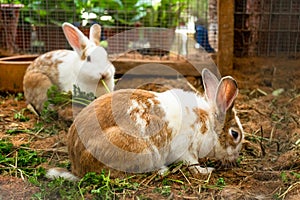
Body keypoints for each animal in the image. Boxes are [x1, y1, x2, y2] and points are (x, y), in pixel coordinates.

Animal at [46, 68, 244, 180]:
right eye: (235, 134)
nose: (235, 159)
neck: (208, 122)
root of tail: (77, 166)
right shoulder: (186, 150)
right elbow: (192, 164)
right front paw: (206, 171)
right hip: (138, 149)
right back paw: (162, 171)